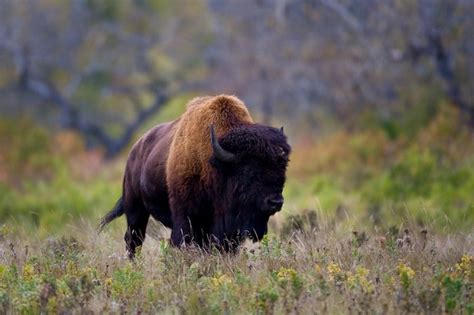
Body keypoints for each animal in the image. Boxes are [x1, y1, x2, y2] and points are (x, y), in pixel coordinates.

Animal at [101, 95, 288, 258]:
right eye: (249, 171)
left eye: (282, 169)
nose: (275, 202)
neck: (217, 165)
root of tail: (135, 149)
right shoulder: (186, 219)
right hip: (135, 208)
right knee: (134, 239)